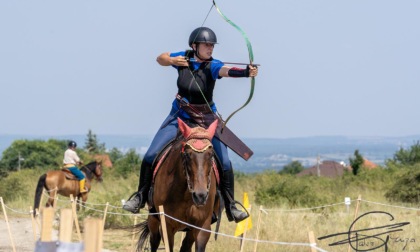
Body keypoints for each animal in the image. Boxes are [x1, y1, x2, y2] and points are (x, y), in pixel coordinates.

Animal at [138, 118, 221, 252]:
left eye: (211, 154)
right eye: (187, 154)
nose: (200, 196)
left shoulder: (202, 227)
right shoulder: (167, 226)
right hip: (153, 219)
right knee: (154, 241)